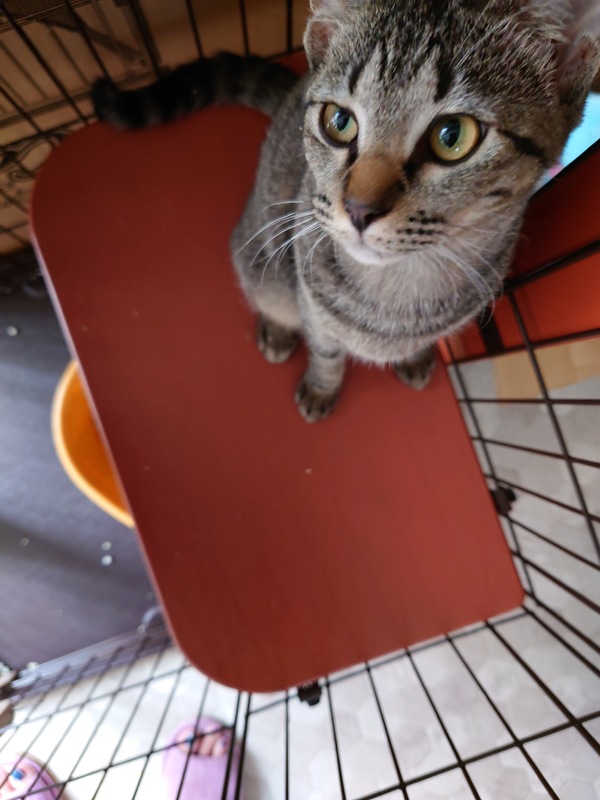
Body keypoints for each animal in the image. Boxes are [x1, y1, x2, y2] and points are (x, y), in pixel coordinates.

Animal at [93, 0, 600, 422]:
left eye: (452, 135)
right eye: (339, 121)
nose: (358, 209)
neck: (396, 297)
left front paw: (414, 357)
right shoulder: (314, 311)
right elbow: (326, 355)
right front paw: (321, 388)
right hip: (259, 257)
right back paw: (276, 330)